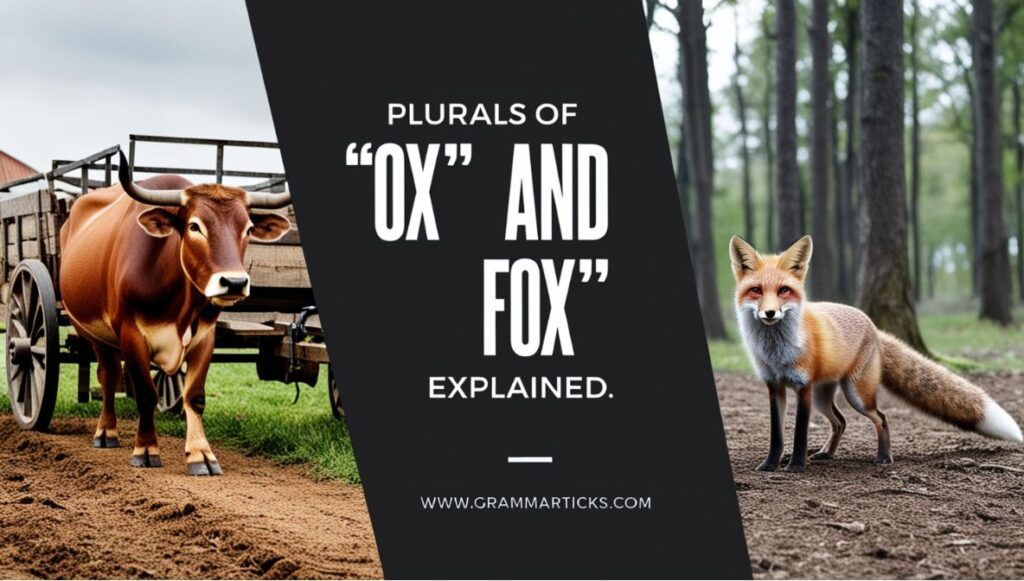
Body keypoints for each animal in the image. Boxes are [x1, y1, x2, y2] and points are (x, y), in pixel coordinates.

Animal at [729, 234, 1023, 473]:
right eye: (756, 290)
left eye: (784, 290)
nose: (770, 313)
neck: (776, 352)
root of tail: (872, 325)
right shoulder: (775, 387)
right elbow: (776, 436)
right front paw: (770, 465)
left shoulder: (804, 387)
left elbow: (800, 433)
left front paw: (796, 466)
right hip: (825, 397)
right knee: (841, 422)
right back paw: (827, 454)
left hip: (856, 394)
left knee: (881, 418)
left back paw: (884, 458)